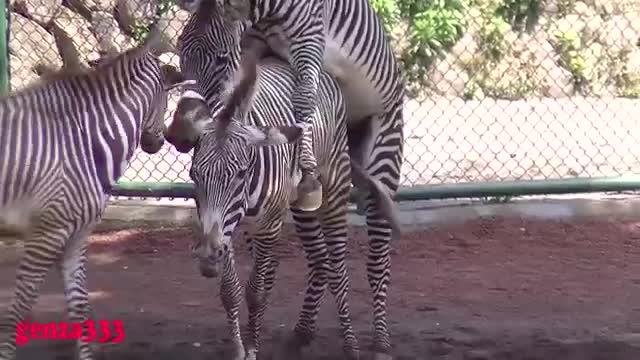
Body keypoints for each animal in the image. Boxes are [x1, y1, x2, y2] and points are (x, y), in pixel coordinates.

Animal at [0, 22, 192, 360]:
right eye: (167, 97)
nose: (160, 142)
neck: (85, 140)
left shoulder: (76, 233)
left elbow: (79, 304)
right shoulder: (46, 233)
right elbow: (20, 307)